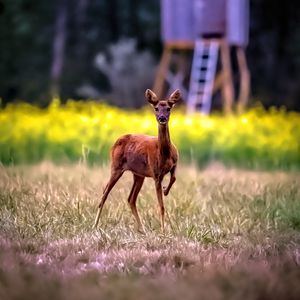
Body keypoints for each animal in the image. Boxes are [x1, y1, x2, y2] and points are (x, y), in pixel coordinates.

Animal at [92, 89, 179, 232]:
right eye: (156, 108)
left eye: (168, 108)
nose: (162, 118)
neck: (165, 154)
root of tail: (115, 142)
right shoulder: (156, 174)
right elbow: (161, 206)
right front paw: (163, 231)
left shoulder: (174, 165)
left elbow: (174, 178)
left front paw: (166, 190)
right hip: (116, 166)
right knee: (105, 194)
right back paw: (94, 225)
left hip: (138, 174)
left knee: (131, 199)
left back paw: (142, 229)